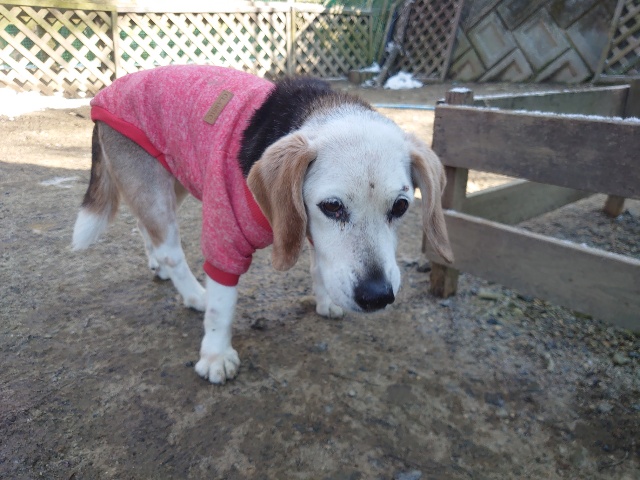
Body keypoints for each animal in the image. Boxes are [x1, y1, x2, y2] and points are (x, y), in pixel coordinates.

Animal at [72, 65, 453, 384]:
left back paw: (157, 264)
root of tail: (104, 94)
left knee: (143, 226)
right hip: (154, 191)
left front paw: (325, 300)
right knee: (171, 252)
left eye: (401, 206)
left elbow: (320, 265)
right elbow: (222, 305)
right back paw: (193, 293)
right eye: (332, 207)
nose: (377, 296)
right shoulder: (225, 235)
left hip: (172, 179)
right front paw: (216, 355)